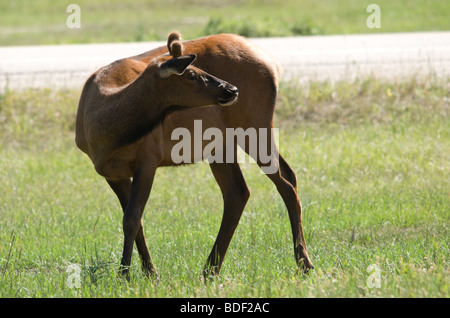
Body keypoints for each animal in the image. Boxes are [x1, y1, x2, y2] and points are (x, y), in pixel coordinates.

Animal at [74, 31, 312, 280]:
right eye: (191, 74)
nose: (232, 89)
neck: (103, 132)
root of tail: (273, 64)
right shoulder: (111, 173)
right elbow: (135, 219)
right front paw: (149, 272)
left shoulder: (149, 158)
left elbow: (131, 218)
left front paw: (125, 275)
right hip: (221, 143)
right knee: (242, 190)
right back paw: (210, 270)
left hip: (254, 123)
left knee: (284, 182)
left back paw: (303, 262)